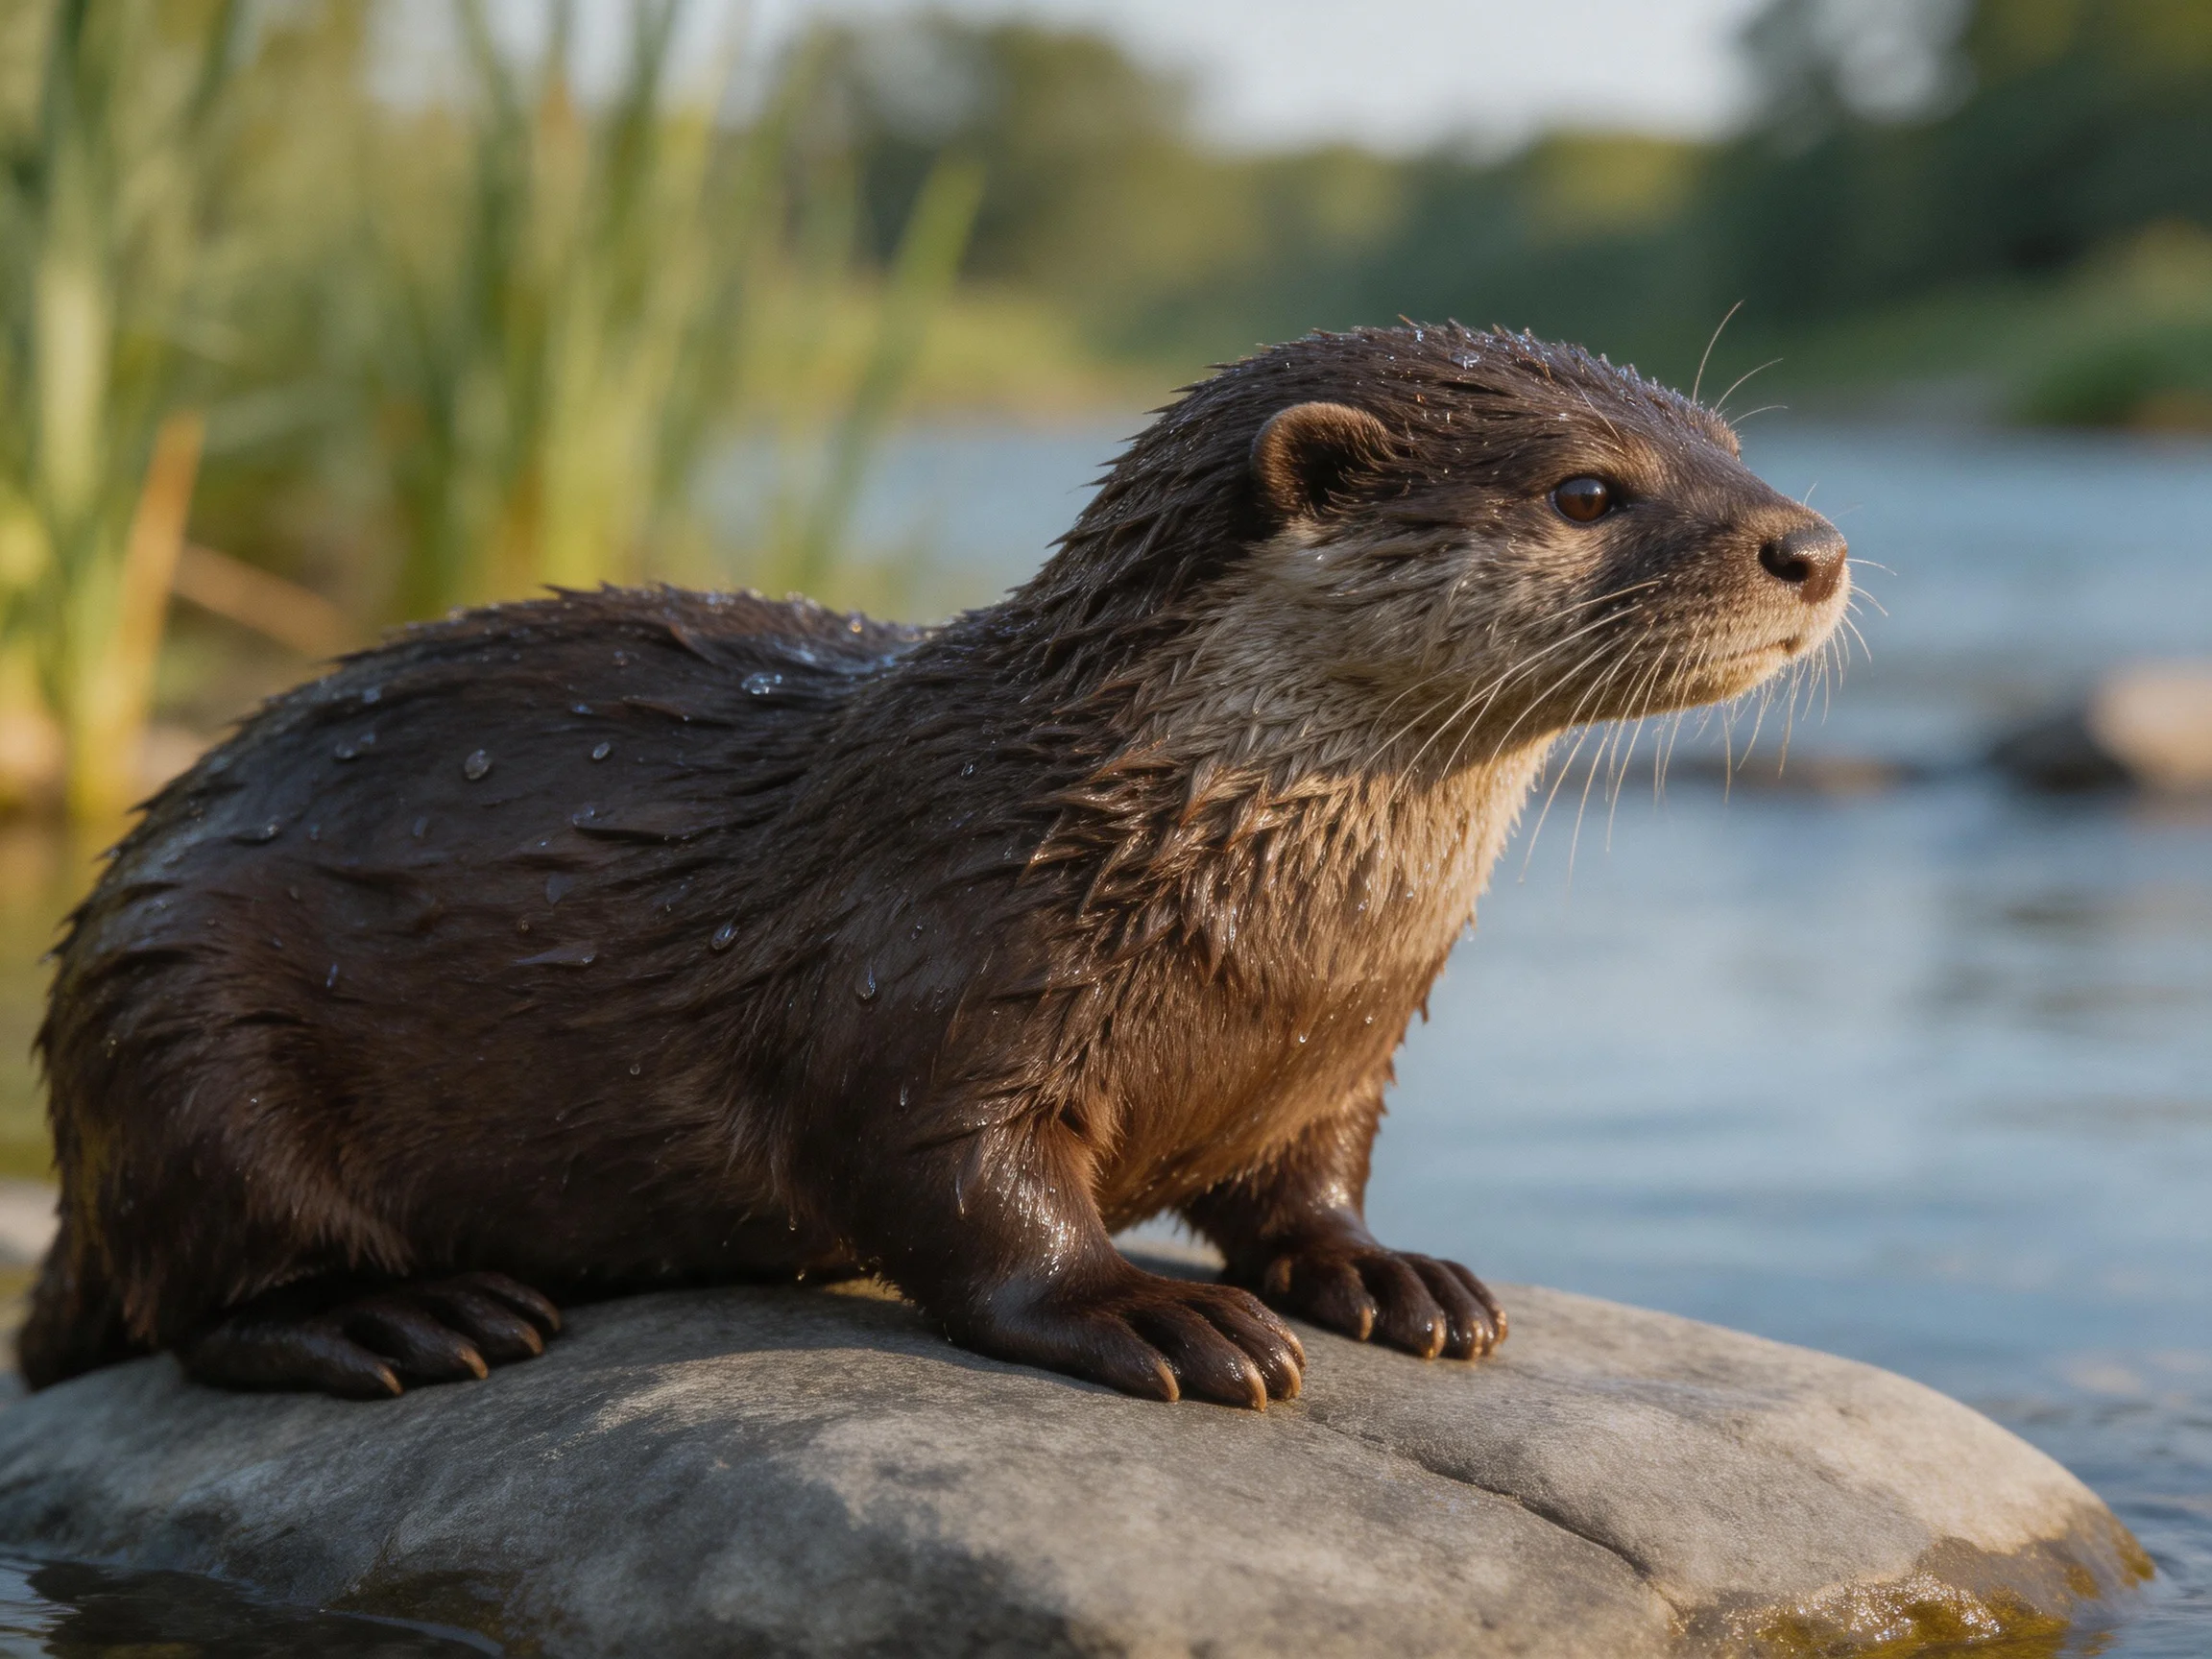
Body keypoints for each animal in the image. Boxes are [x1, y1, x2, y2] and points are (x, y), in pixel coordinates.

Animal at [21, 325, 1846, 1408]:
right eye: (1587, 489)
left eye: (1731, 442)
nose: (1811, 543)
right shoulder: (925, 988)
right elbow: (964, 1197)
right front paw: (1153, 1313)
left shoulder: (1343, 1056)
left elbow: (1304, 1181)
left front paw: (1390, 1273)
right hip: (178, 1025)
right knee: (201, 1291)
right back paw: (403, 1318)